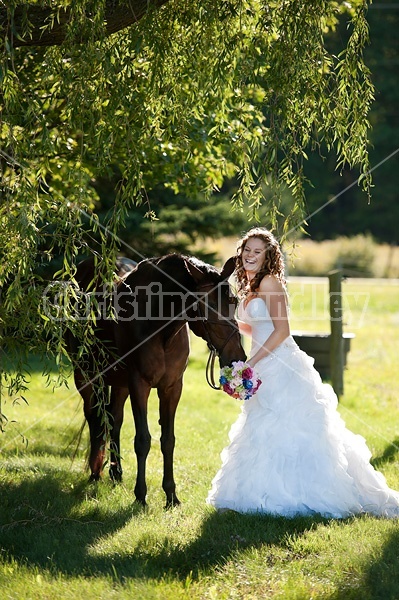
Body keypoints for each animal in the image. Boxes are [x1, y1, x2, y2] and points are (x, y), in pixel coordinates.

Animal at [67, 253, 245, 506]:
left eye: (234, 301)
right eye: (207, 304)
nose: (236, 356)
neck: (161, 330)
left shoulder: (172, 387)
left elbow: (168, 440)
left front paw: (171, 495)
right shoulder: (139, 385)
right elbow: (142, 440)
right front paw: (140, 496)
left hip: (119, 383)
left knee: (114, 419)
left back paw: (116, 473)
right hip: (86, 375)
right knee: (95, 418)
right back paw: (95, 472)